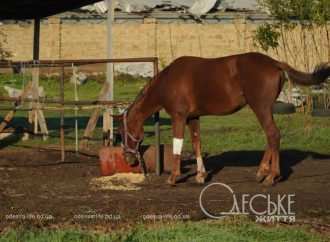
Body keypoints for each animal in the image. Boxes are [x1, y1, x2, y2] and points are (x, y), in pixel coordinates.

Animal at [116, 52, 330, 186]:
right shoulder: (193, 117)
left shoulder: (179, 117)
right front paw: (201, 175)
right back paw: (262, 171)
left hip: (260, 107)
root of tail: (274, 63)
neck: (168, 81)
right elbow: (197, 143)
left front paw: (174, 177)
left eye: (122, 132)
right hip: (264, 109)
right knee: (271, 137)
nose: (128, 159)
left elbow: (178, 145)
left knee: (272, 134)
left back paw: (270, 176)